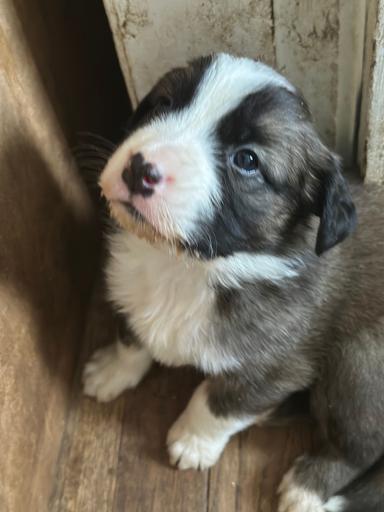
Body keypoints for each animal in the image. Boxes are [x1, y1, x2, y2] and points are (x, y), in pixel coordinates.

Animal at [82, 54, 384, 510]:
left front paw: (192, 442)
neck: (186, 266)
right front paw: (111, 370)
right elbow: (132, 338)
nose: (139, 170)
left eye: (247, 160)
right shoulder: (132, 295)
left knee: (361, 447)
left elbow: (217, 403)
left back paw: (308, 487)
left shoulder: (274, 367)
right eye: (163, 104)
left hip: (358, 362)